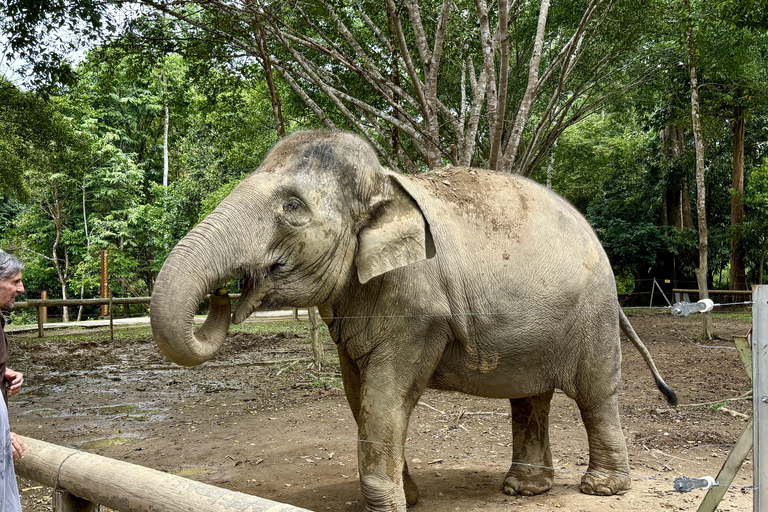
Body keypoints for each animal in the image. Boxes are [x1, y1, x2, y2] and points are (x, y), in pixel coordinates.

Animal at [150, 130, 677, 512]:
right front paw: (411, 498)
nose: (220, 294)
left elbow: (385, 397)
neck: (386, 181)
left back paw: (600, 489)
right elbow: (358, 395)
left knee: (594, 395)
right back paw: (523, 490)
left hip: (593, 316)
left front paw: (392, 505)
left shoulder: (420, 308)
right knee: (532, 397)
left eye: (293, 206)